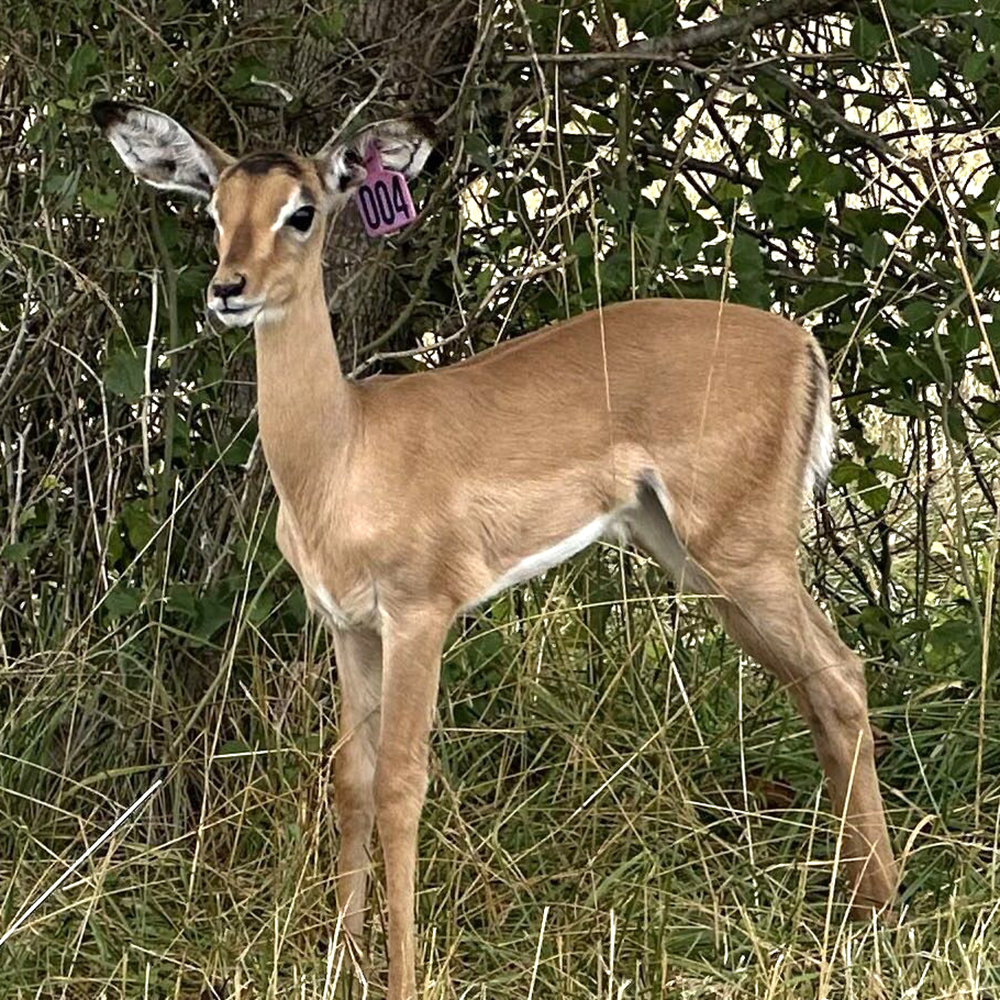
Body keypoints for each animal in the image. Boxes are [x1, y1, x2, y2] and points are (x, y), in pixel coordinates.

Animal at [94, 101, 898, 999]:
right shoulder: (347, 629)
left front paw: (402, 978)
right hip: (696, 559)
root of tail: (802, 343)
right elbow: (350, 781)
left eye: (301, 212)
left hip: (744, 553)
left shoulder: (420, 616)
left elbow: (402, 784)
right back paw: (859, 910)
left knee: (842, 674)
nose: (228, 290)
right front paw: (342, 961)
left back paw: (882, 917)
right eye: (213, 209)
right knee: (814, 686)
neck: (341, 453)